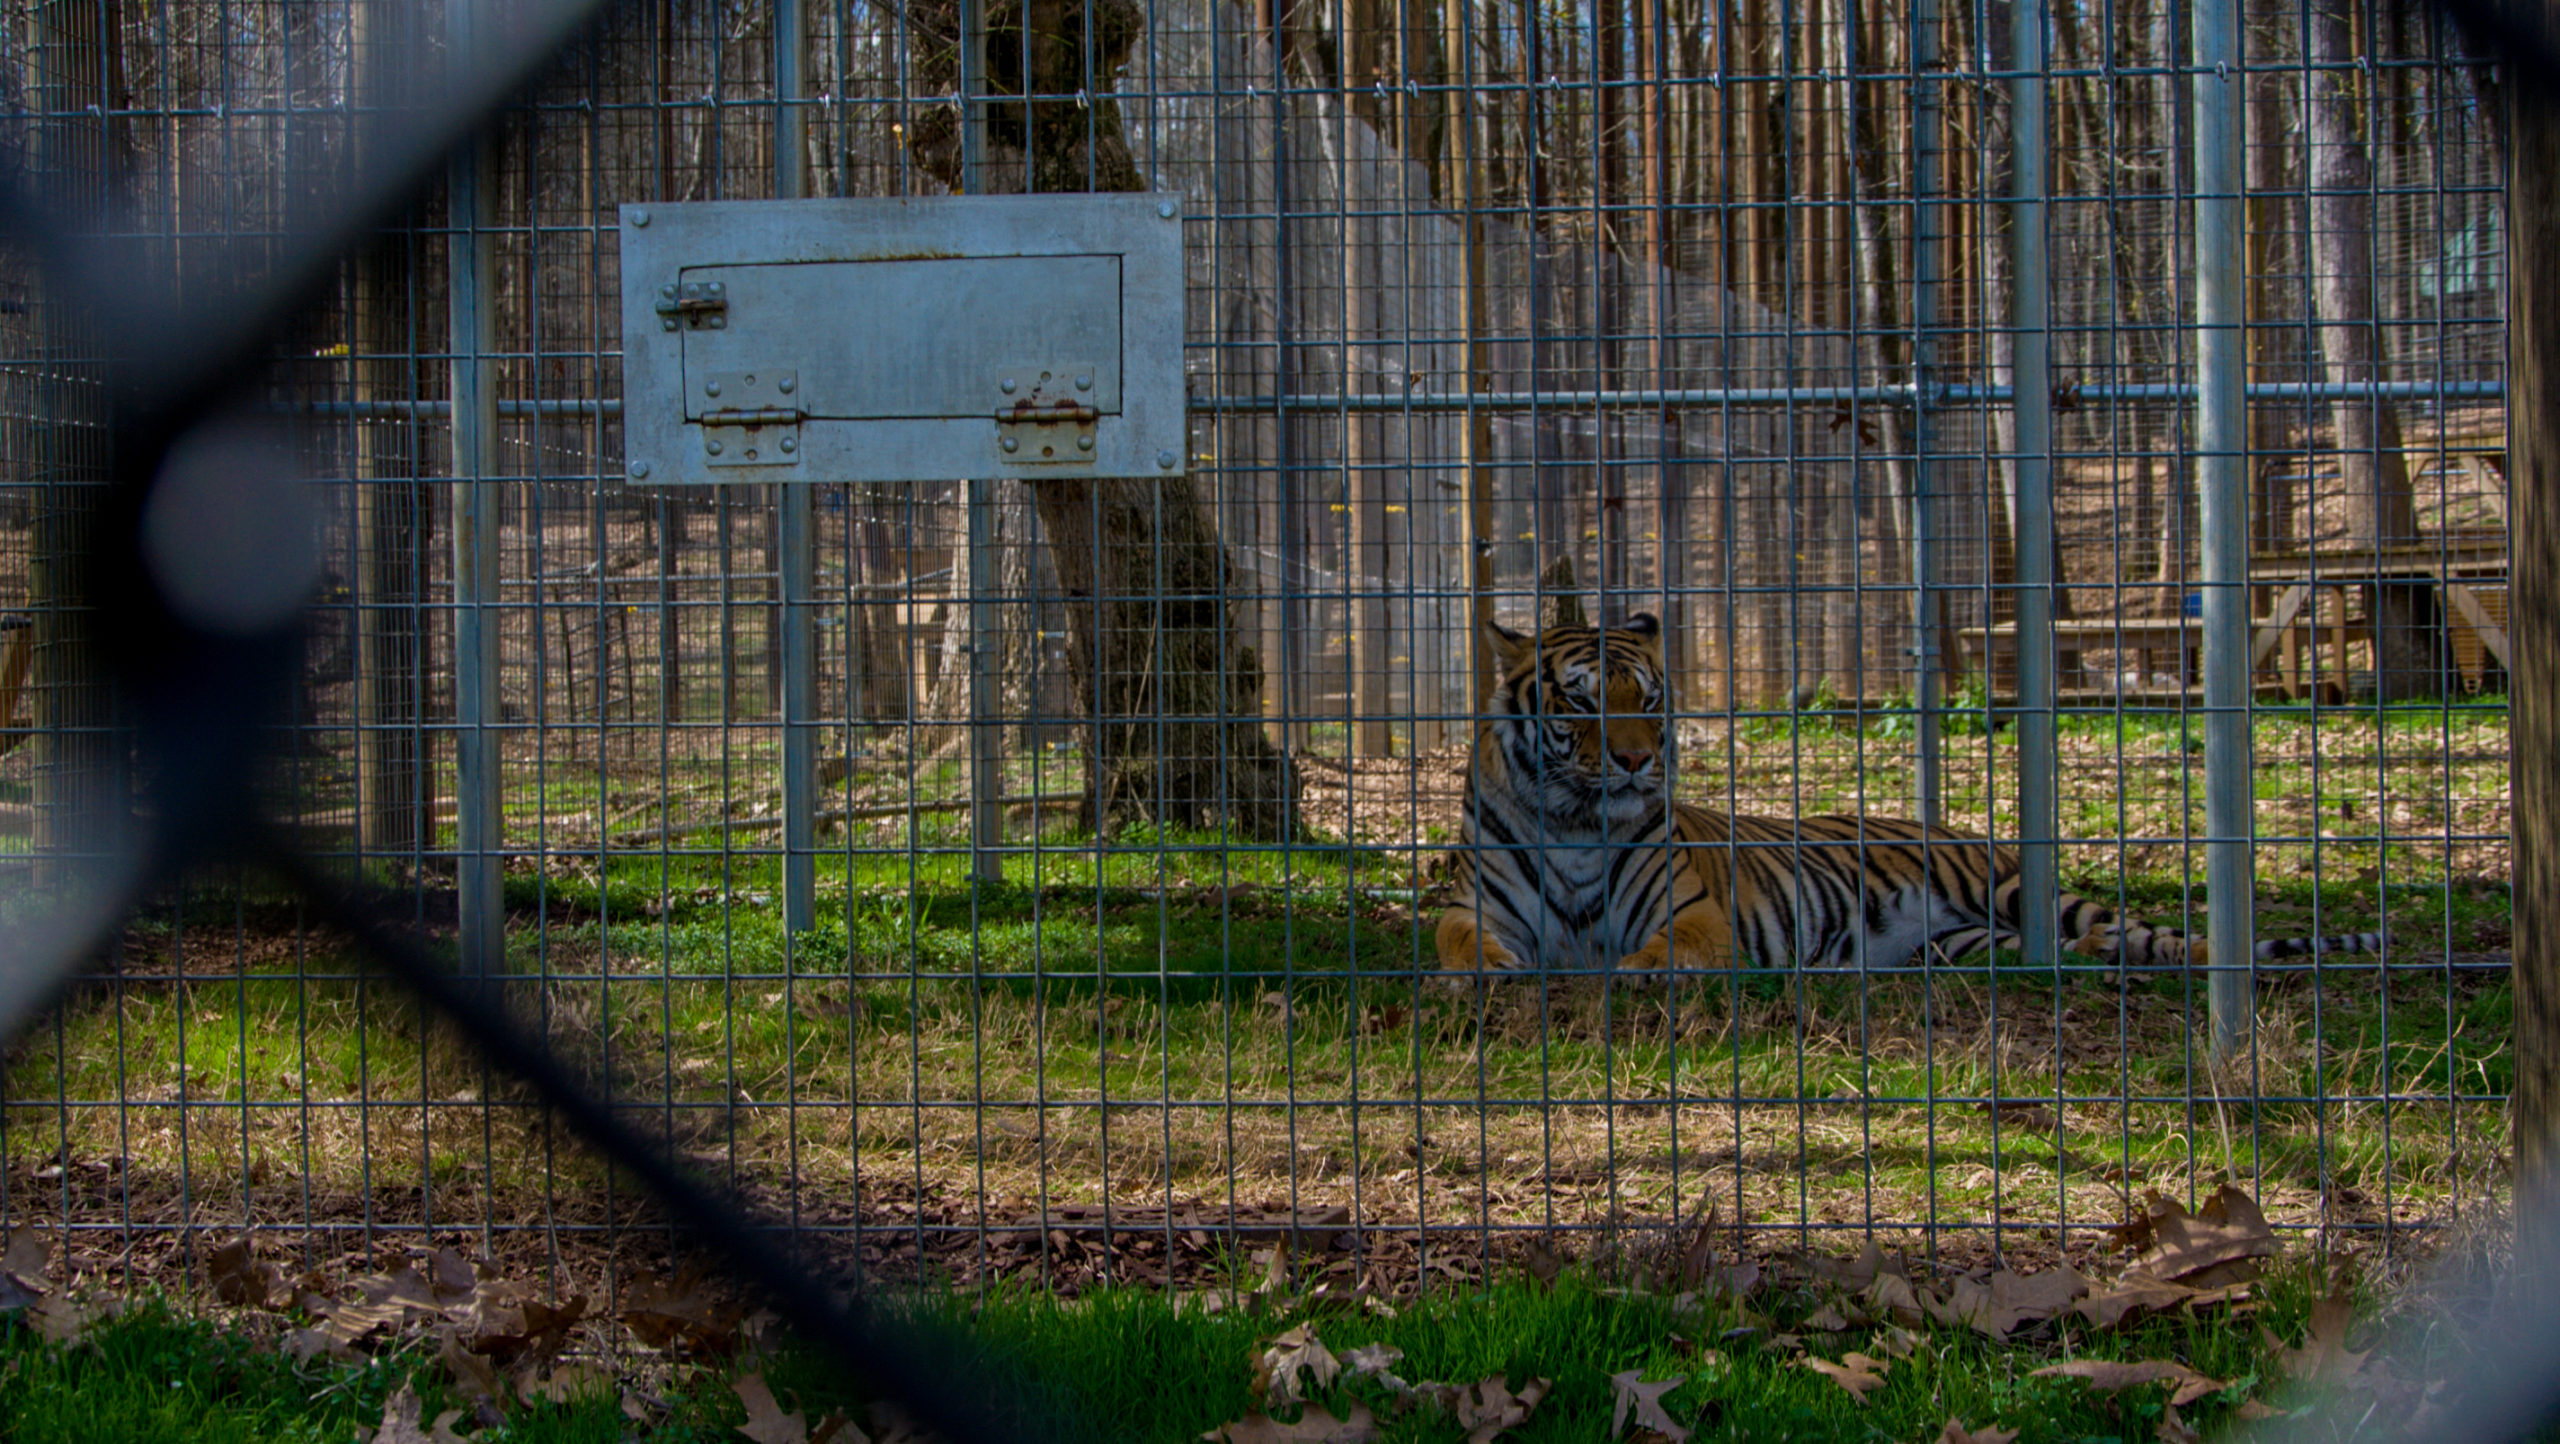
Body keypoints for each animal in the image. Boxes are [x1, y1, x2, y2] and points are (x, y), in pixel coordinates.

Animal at [1433, 614, 2385, 978]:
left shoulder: (1695, 912)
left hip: (2020, 890)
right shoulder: (1480, 904)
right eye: (1581, 703)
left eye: (1651, 700)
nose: (1637, 764)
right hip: (1961, 946)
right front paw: (1495, 973)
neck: (1576, 825)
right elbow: (1463, 943)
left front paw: (1625, 972)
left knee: (2167, 939)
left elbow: (1664, 953)